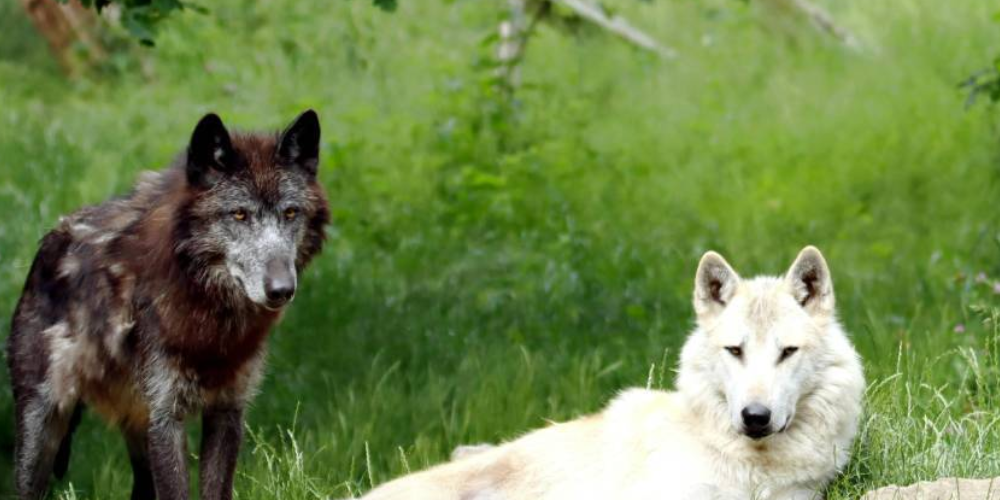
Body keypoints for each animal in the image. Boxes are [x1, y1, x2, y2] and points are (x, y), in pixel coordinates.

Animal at [7, 110, 329, 500]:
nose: (281, 289)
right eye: (239, 215)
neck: (211, 317)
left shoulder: (227, 410)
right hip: (42, 427)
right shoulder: (165, 417)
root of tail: (47, 244)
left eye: (291, 213)